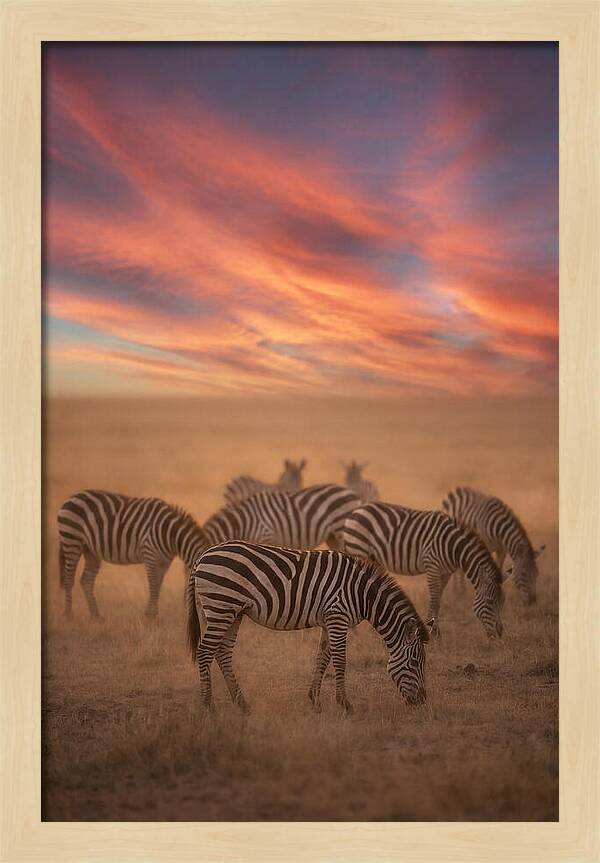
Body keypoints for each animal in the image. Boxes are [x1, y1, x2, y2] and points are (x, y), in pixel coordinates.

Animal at [58, 490, 209, 621]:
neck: (170, 534)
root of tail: (72, 497)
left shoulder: (164, 561)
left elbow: (158, 584)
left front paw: (152, 614)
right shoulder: (150, 554)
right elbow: (153, 584)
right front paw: (151, 616)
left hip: (91, 551)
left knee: (86, 580)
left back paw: (96, 616)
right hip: (72, 540)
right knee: (69, 578)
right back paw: (68, 615)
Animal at [187, 541, 432, 713]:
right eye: (415, 662)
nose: (422, 701)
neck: (362, 594)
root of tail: (202, 556)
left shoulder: (328, 620)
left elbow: (322, 657)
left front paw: (315, 701)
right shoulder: (338, 616)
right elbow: (340, 659)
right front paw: (345, 704)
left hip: (232, 612)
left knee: (223, 652)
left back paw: (242, 703)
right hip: (221, 606)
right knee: (205, 651)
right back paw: (209, 706)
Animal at [342, 502, 506, 639]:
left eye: (503, 602)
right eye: (490, 601)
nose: (499, 634)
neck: (453, 546)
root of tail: (356, 511)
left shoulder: (446, 572)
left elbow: (438, 599)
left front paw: (436, 632)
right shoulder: (432, 566)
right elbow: (433, 599)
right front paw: (434, 632)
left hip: (371, 556)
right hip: (359, 549)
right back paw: (355, 631)